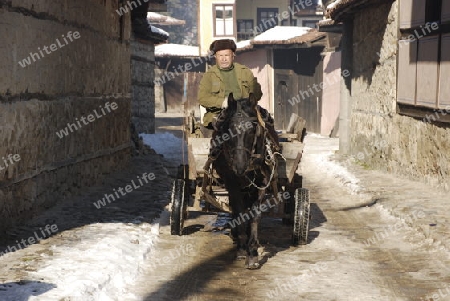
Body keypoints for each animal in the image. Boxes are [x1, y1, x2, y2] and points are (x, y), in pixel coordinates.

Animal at [210, 92, 280, 268]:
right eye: (229, 130)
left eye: (253, 129)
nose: (239, 167)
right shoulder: (232, 182)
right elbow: (239, 212)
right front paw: (242, 249)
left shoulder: (262, 183)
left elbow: (254, 215)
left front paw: (253, 252)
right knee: (236, 210)